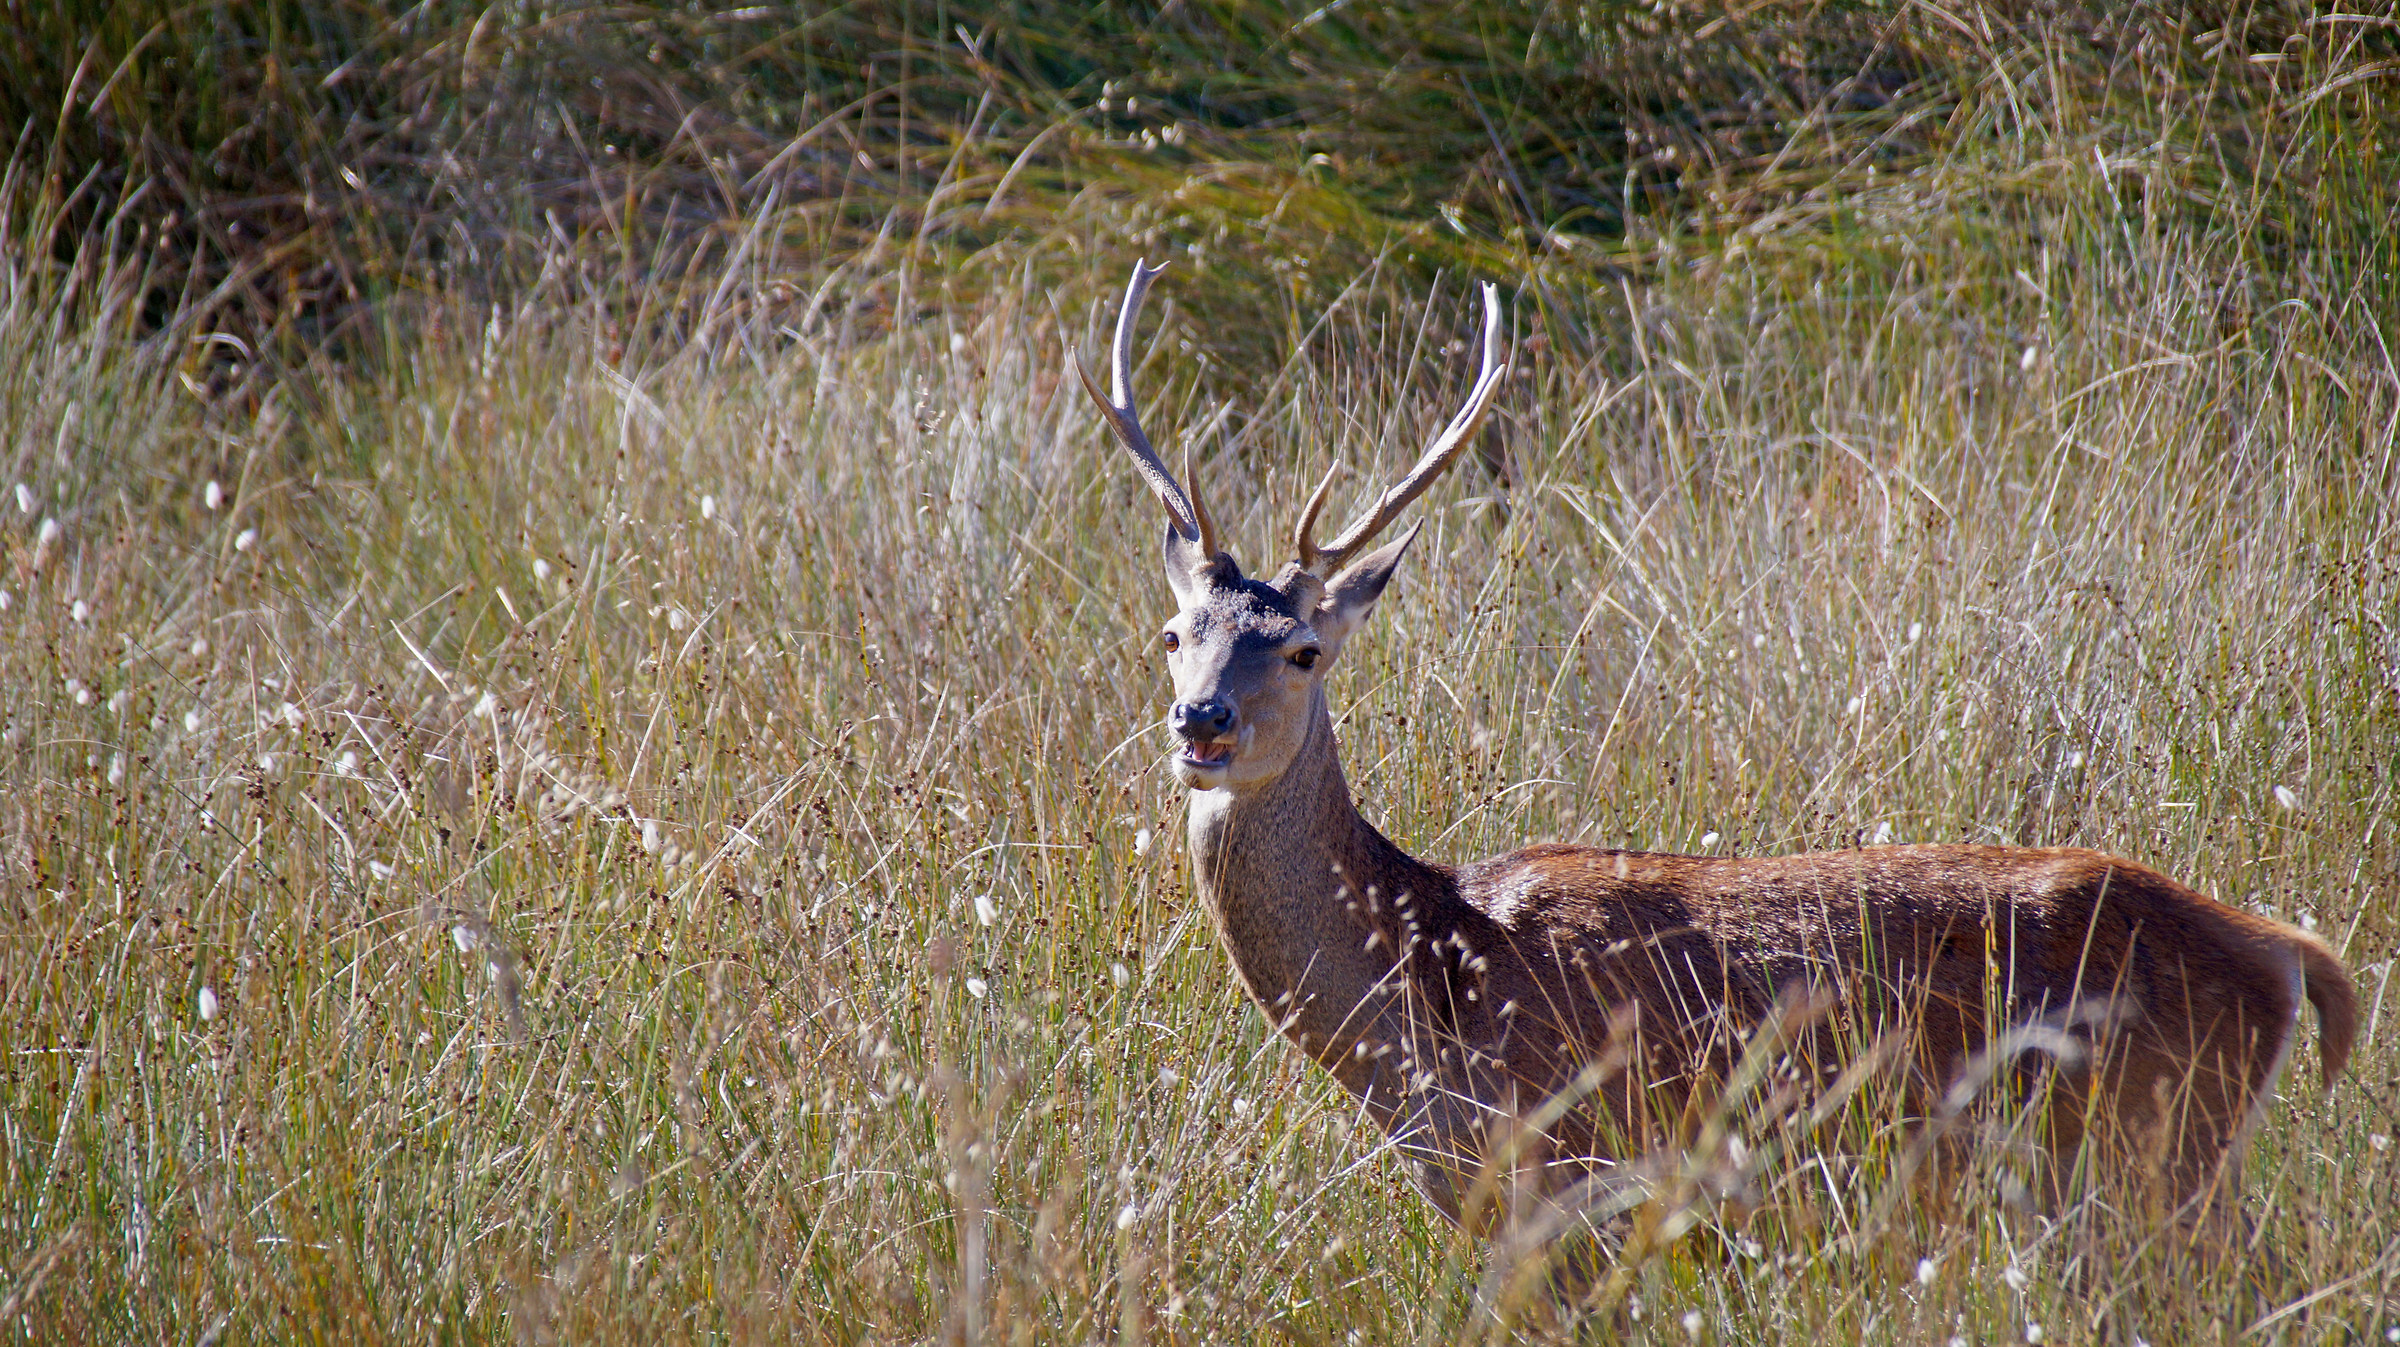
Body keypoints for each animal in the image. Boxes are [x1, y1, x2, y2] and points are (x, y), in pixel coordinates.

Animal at [1074, 261, 2357, 1263]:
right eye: (1175, 633)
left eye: (1300, 648)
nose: (1202, 723)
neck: (1424, 1004)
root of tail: (2282, 954)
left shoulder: (1571, 1177)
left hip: (2157, 1149)